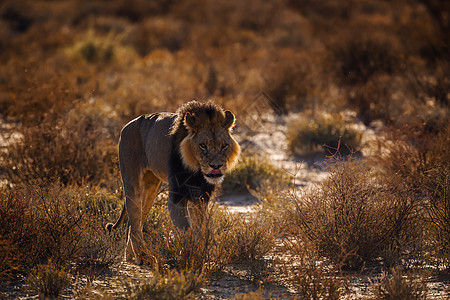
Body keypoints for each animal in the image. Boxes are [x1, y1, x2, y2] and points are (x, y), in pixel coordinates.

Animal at [106, 100, 239, 262]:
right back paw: (142, 257)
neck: (196, 171)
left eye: (224, 146)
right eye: (203, 145)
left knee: (135, 223)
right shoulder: (176, 198)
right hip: (132, 182)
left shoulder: (201, 199)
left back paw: (131, 257)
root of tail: (127, 125)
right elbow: (186, 229)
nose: (216, 166)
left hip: (151, 187)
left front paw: (200, 254)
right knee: (135, 221)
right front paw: (189, 255)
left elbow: (199, 229)